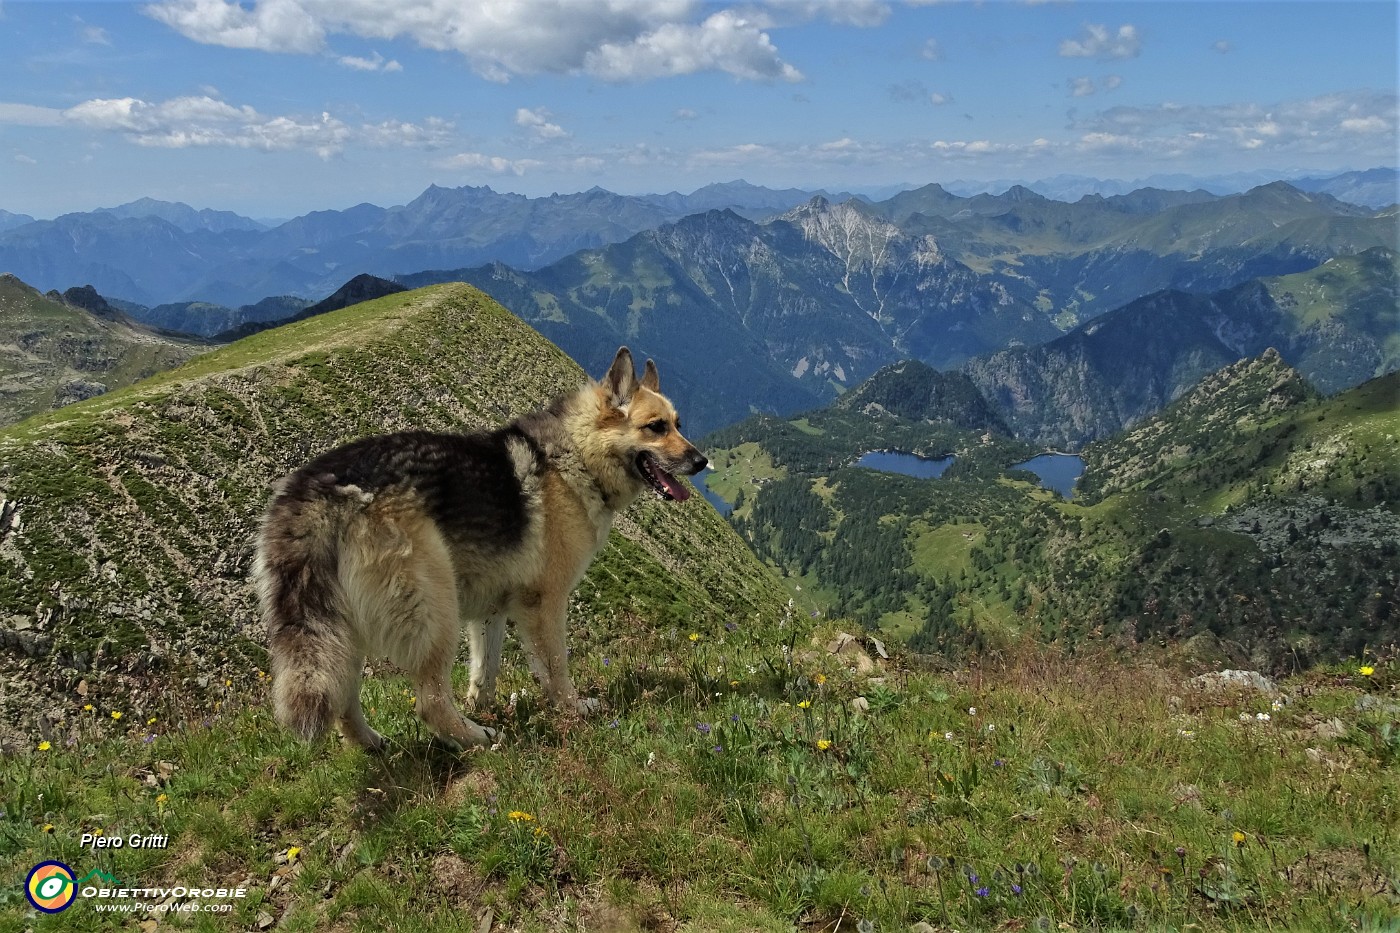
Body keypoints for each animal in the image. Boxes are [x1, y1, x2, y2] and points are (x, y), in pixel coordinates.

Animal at [252, 344, 705, 745]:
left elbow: (485, 671)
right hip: (436, 611)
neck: (576, 454)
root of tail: (312, 489)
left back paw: (376, 743)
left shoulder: (492, 610)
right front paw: (572, 710)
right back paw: (475, 739)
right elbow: (555, 668)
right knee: (429, 701)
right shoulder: (545, 604)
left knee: (345, 700)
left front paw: (485, 706)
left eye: (679, 424)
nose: (702, 462)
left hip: (344, 629)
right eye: (656, 427)